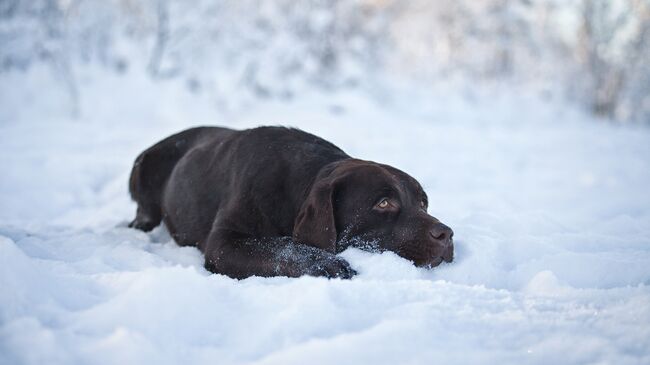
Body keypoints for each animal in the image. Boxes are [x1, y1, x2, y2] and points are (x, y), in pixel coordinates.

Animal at [126, 126, 450, 278]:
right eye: (384, 203)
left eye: (423, 203)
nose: (447, 234)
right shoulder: (224, 242)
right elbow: (280, 247)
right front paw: (327, 264)